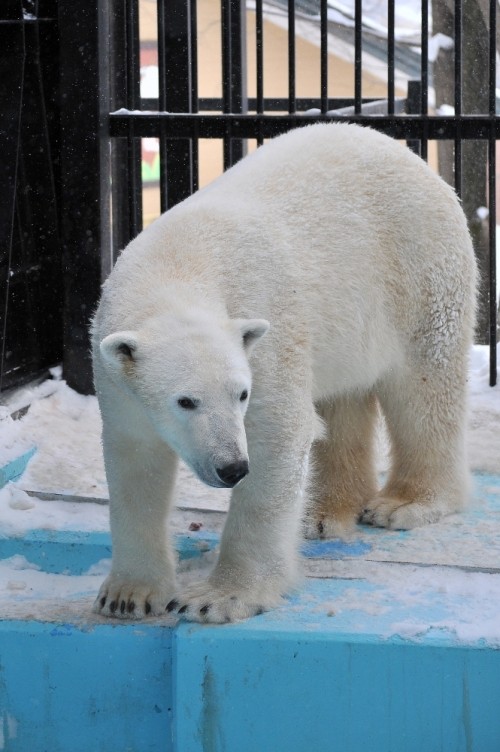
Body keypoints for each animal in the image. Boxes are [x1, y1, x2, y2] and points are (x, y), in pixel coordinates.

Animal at [93, 123, 476, 624]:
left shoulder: (266, 331)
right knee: (342, 399)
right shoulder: (118, 382)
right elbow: (135, 465)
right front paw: (128, 595)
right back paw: (325, 513)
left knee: (423, 390)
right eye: (185, 400)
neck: (175, 265)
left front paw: (218, 598)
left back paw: (404, 503)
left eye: (241, 394)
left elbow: (278, 435)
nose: (231, 467)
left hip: (419, 272)